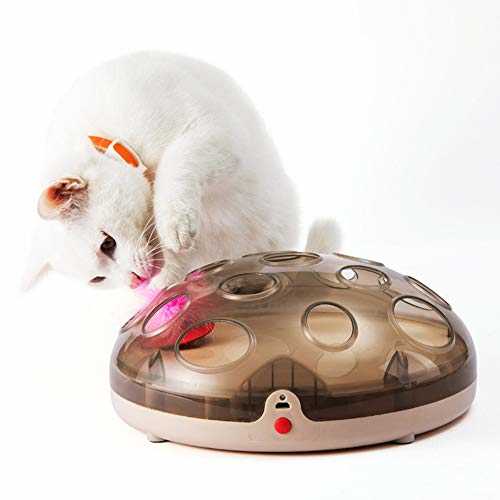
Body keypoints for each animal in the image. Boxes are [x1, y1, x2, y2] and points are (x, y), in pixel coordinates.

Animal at [24, 52, 336, 291]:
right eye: (97, 279)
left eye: (107, 244)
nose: (135, 283)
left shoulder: (215, 134)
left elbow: (177, 163)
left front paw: (174, 221)